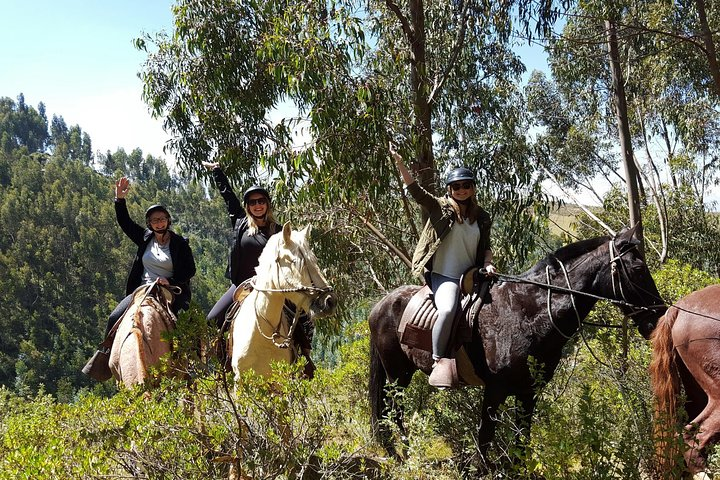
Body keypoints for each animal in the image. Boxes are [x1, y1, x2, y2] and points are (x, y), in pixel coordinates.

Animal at [369, 225, 667, 466]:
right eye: (638, 269)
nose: (659, 316)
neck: (528, 314)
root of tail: (380, 305)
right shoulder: (495, 390)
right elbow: (485, 436)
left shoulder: (528, 392)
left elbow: (522, 439)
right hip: (398, 375)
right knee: (393, 411)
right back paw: (404, 455)